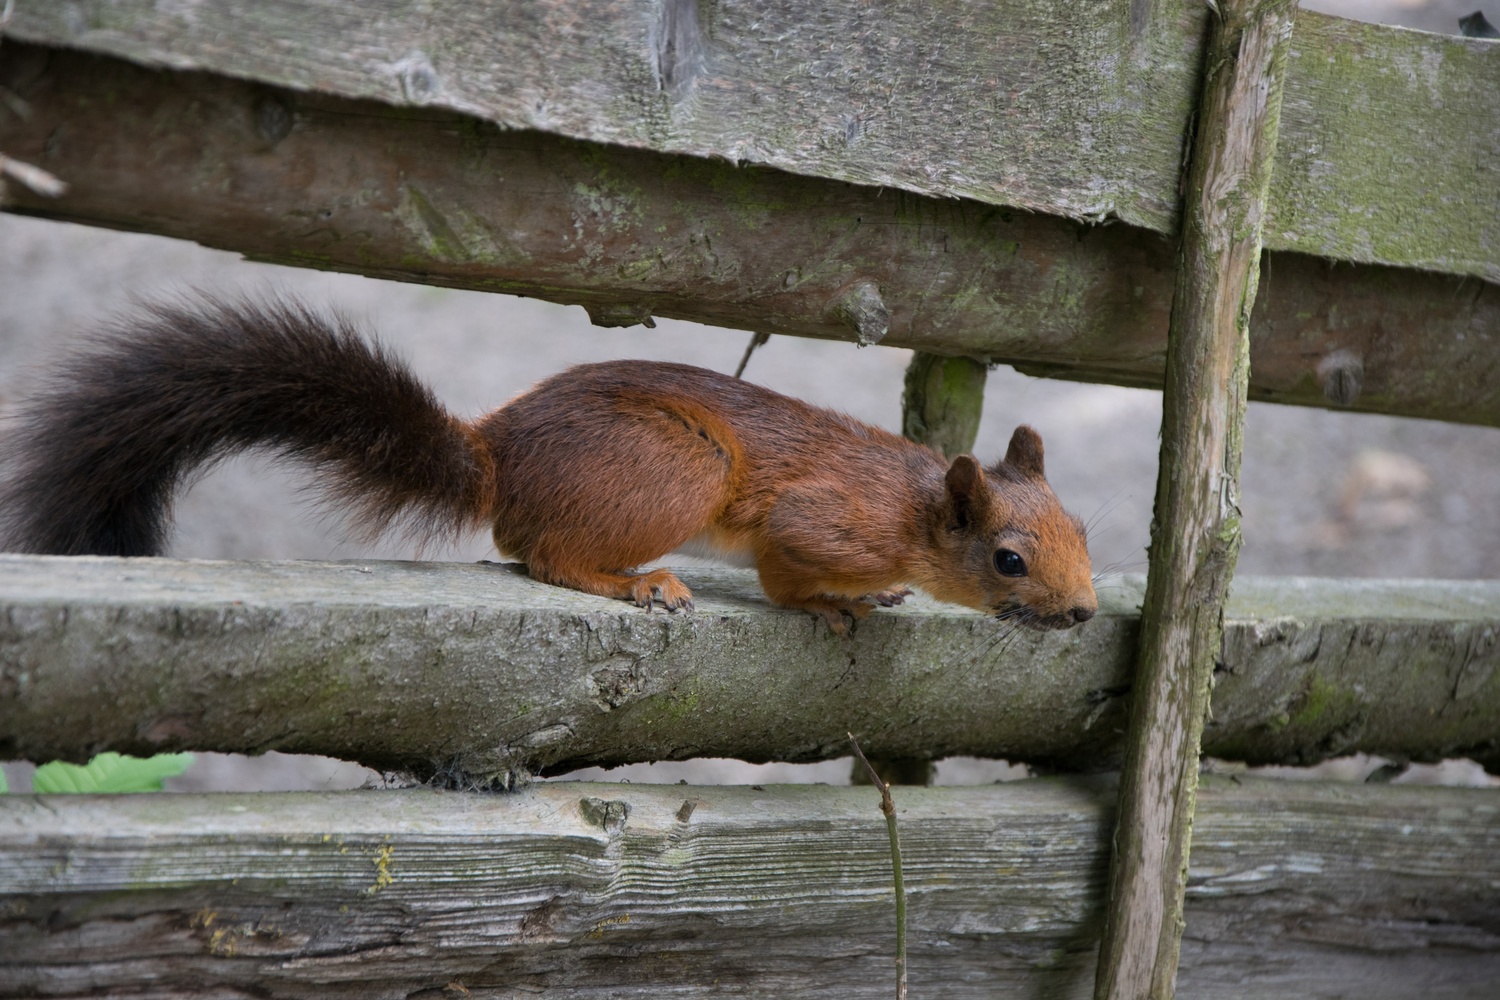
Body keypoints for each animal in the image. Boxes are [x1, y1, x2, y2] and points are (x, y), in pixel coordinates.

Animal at [0, 297, 1098, 632]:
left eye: (1084, 531)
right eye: (1007, 558)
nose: (1085, 612)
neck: (911, 510)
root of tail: (498, 457)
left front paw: (876, 599)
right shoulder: (818, 520)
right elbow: (788, 570)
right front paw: (834, 605)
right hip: (679, 467)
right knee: (547, 557)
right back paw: (636, 583)